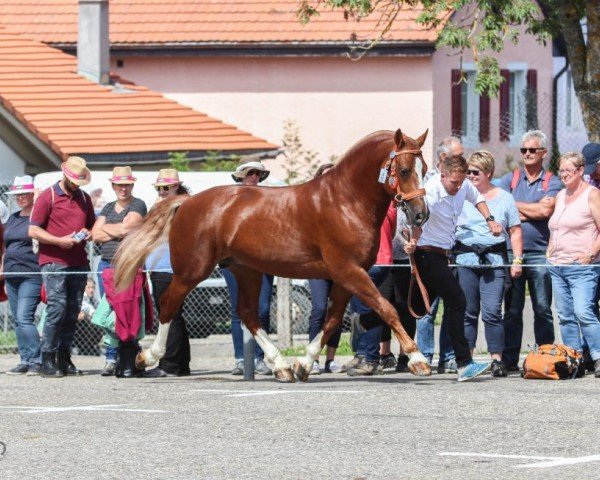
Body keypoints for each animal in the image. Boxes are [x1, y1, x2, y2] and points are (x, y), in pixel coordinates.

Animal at [113, 128, 432, 382]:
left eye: (426, 168)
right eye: (405, 170)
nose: (421, 215)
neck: (345, 201)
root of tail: (187, 201)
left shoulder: (346, 275)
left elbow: (331, 321)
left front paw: (303, 364)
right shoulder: (348, 270)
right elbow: (387, 309)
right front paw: (418, 360)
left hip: (246, 270)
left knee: (248, 314)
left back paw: (281, 366)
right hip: (193, 270)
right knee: (169, 304)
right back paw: (146, 357)